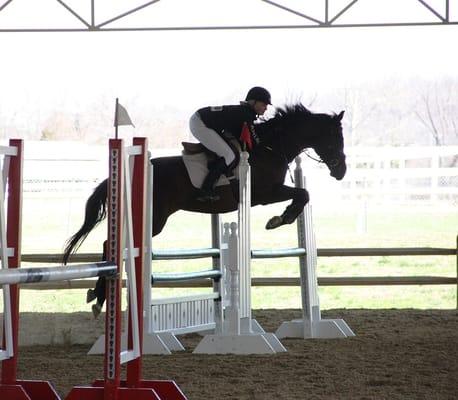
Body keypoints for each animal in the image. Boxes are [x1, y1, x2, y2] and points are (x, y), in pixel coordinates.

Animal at [62, 102, 346, 312]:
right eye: (334, 139)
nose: (341, 171)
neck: (270, 147)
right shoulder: (264, 193)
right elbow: (303, 193)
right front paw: (281, 218)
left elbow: (303, 194)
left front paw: (282, 217)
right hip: (153, 220)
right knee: (111, 245)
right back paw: (99, 298)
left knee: (112, 245)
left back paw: (97, 296)